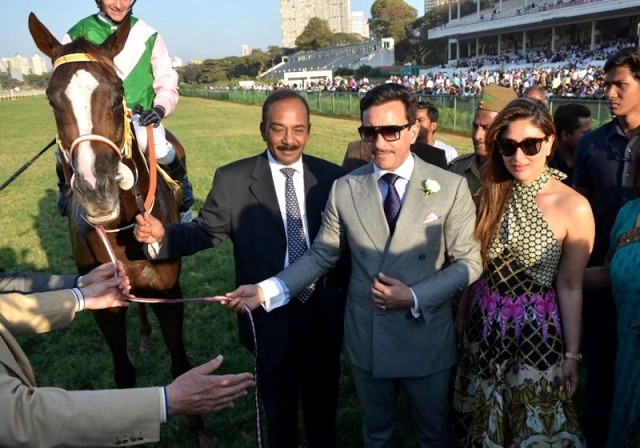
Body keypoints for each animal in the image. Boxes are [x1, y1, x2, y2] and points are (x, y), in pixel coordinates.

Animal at [26, 12, 215, 446]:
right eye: (51, 100)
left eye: (117, 95)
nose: (96, 190)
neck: (121, 226)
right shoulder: (105, 302)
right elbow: (123, 375)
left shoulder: (168, 292)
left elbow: (182, 365)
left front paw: (200, 428)